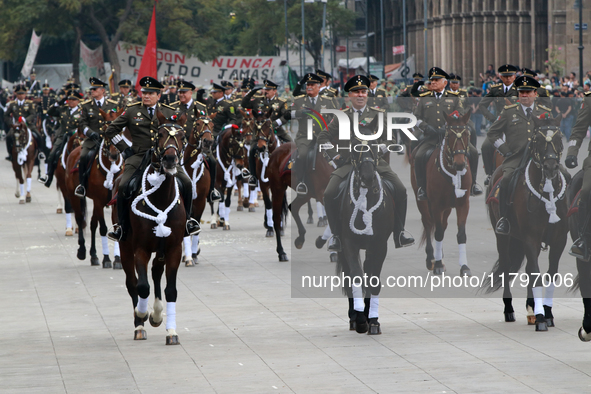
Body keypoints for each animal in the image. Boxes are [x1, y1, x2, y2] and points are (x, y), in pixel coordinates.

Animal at [64, 107, 124, 268]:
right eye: (105, 130)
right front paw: (107, 259)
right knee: (80, 220)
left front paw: (117, 259)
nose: (114, 155)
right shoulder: (98, 201)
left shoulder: (113, 202)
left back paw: (94, 255)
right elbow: (103, 228)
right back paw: (82, 251)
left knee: (91, 224)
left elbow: (115, 226)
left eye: (122, 130)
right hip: (75, 197)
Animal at [115, 111, 187, 344]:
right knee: (132, 283)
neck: (161, 198)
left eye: (182, 136)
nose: (170, 159)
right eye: (160, 134)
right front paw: (141, 314)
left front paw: (171, 331)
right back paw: (140, 324)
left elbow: (170, 290)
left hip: (161, 249)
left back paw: (156, 314)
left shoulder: (174, 249)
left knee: (156, 272)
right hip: (125, 247)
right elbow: (142, 286)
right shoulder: (141, 249)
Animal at [410, 111, 474, 276]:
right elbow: (437, 233)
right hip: (423, 202)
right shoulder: (436, 205)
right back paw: (431, 259)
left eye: (466, 134)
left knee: (443, 226)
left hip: (447, 207)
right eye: (448, 135)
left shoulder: (463, 204)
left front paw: (464, 266)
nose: (460, 164)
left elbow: (461, 234)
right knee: (428, 224)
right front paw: (437, 264)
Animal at [486, 115, 568, 330]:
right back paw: (510, 311)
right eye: (537, 140)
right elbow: (536, 274)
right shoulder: (531, 237)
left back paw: (532, 309)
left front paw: (547, 313)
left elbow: (549, 274)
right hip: (503, 236)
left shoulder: (559, 240)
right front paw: (540, 318)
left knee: (530, 269)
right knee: (507, 266)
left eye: (559, 139)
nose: (550, 167)